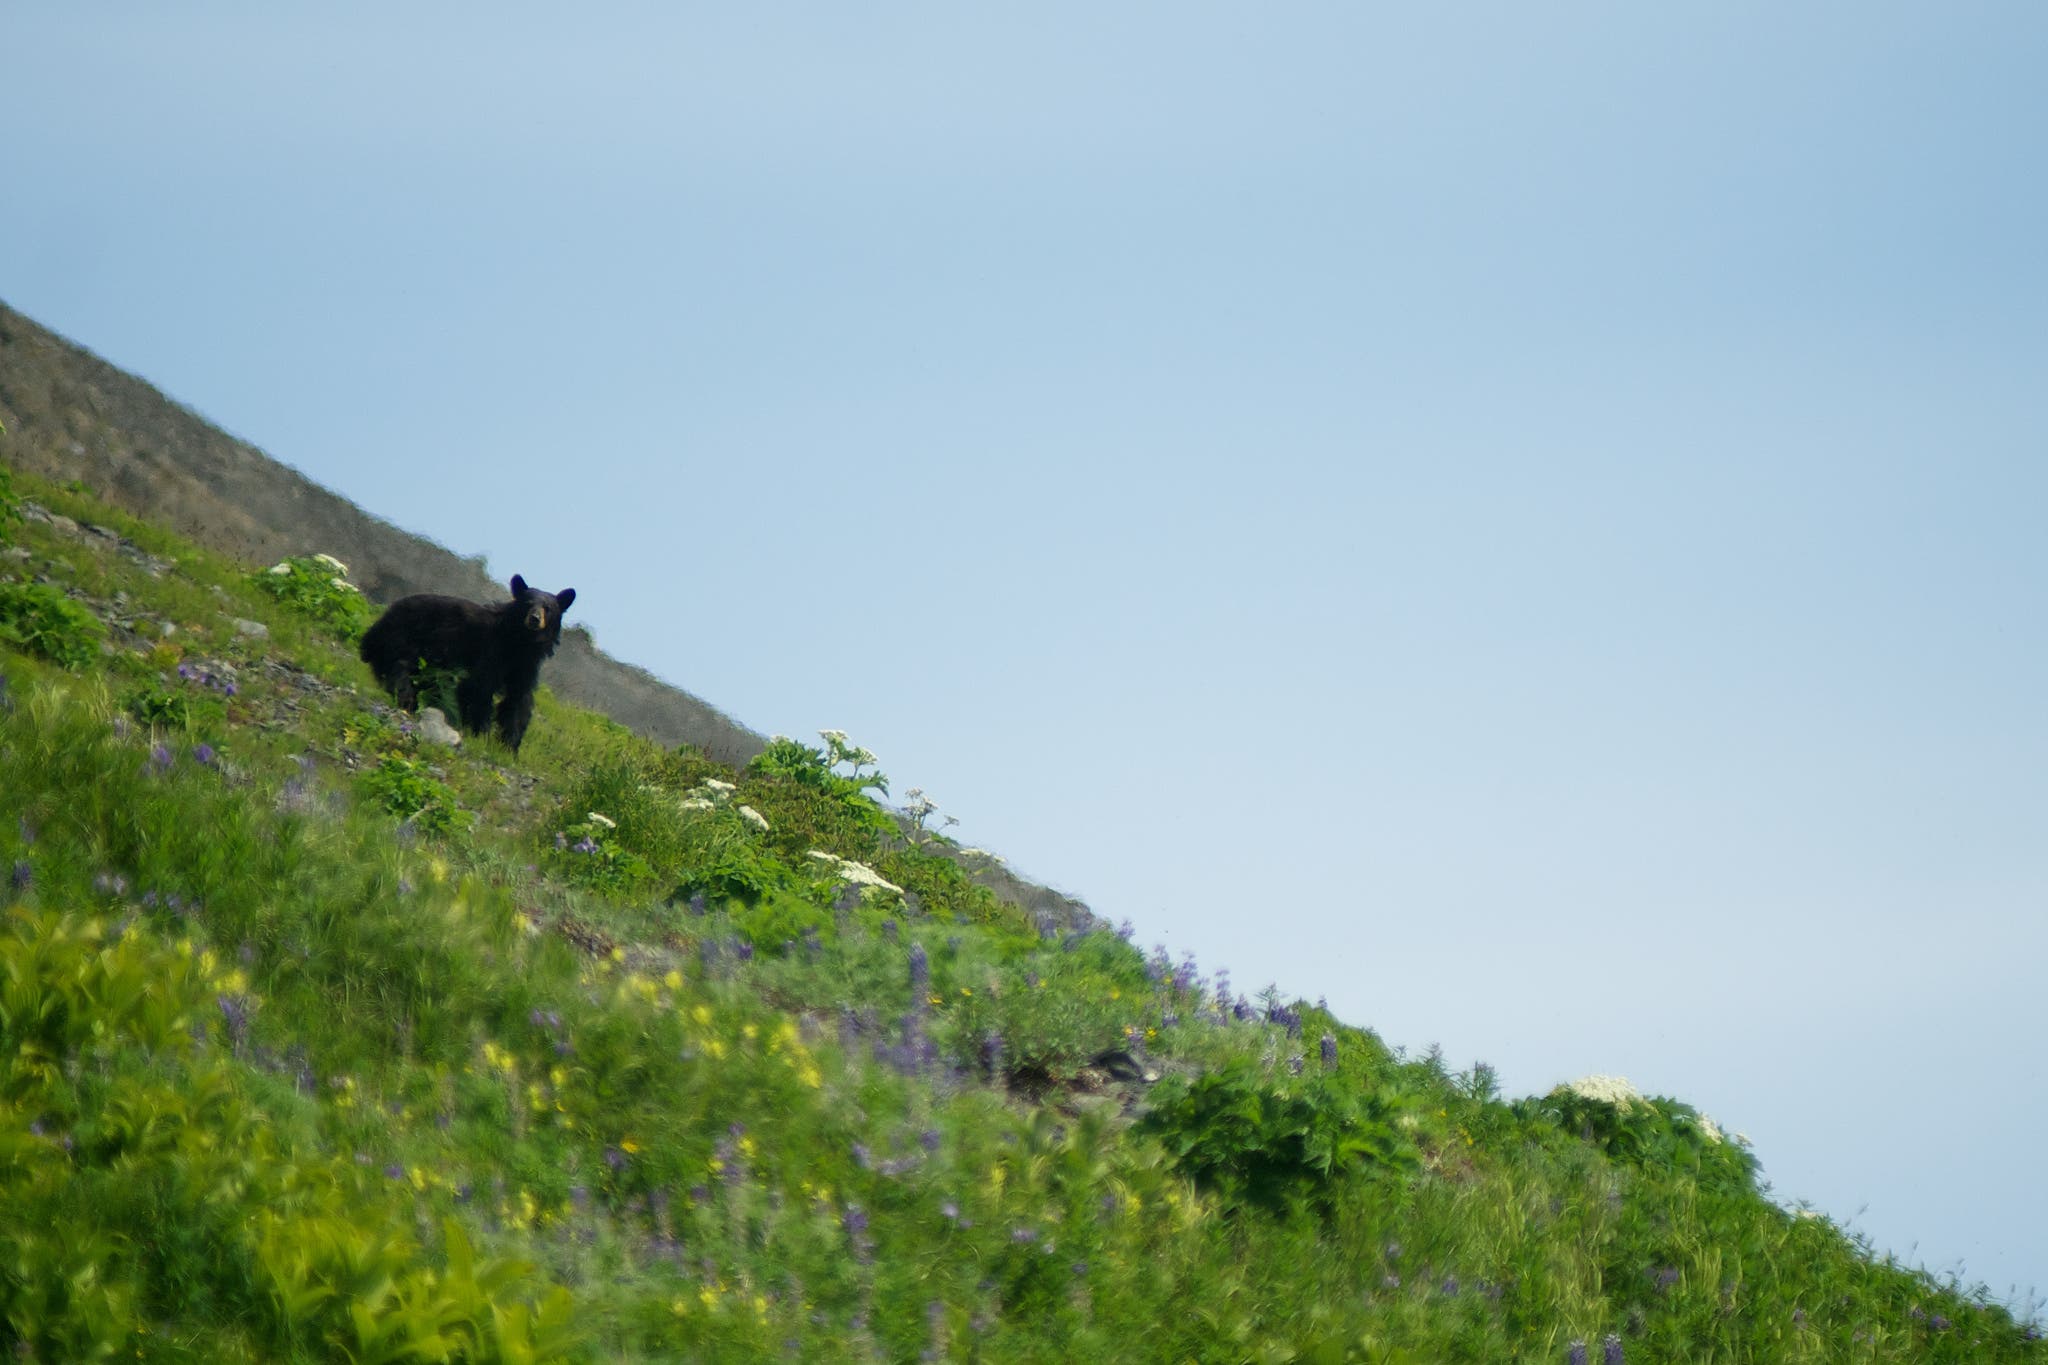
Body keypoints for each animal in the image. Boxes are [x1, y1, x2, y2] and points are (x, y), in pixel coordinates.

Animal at [358, 574, 576, 753]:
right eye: (527, 603)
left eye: (548, 608)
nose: (534, 618)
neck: (519, 643)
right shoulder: (490, 652)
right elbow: (480, 688)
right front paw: (481, 732)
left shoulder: (525, 667)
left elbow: (518, 700)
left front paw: (510, 746)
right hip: (409, 636)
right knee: (401, 665)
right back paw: (405, 697)